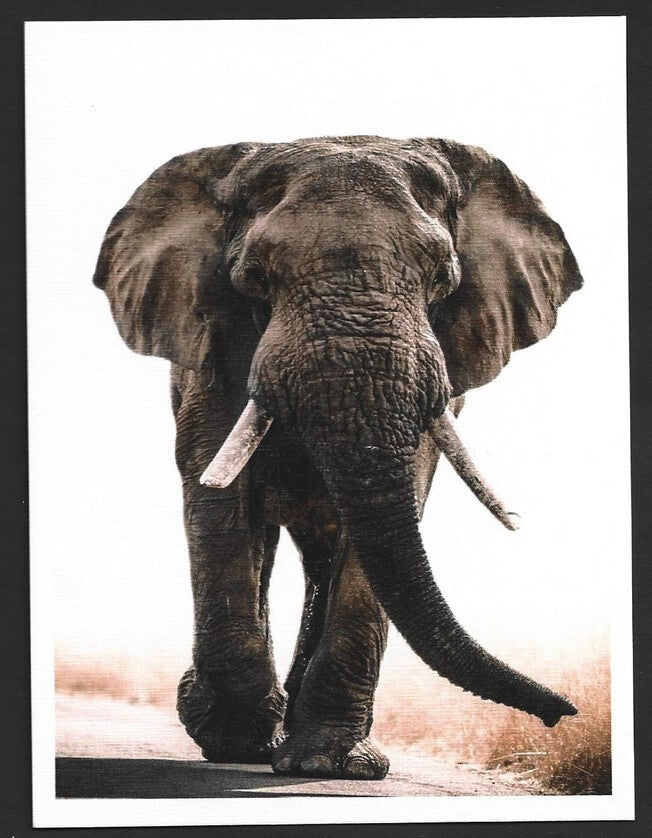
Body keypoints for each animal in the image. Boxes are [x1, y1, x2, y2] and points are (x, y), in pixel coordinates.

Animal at [93, 135, 581, 780]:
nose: (563, 713)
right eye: (254, 278)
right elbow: (216, 495)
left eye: (442, 279)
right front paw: (234, 738)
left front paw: (331, 763)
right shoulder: (209, 345)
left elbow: (402, 497)